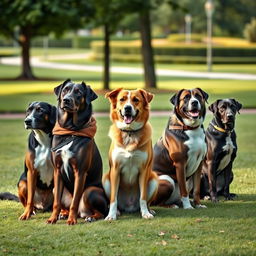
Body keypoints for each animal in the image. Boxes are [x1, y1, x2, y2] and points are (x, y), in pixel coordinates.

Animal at [46, 79, 107, 225]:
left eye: (79, 92)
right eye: (65, 90)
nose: (66, 100)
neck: (70, 131)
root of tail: (82, 213)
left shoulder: (80, 171)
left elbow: (75, 200)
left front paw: (71, 220)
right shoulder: (57, 169)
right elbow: (56, 202)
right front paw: (52, 218)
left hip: (91, 191)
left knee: (100, 212)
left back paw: (90, 217)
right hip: (56, 189)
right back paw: (63, 214)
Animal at [102, 88, 158, 220]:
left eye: (136, 100)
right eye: (122, 99)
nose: (127, 108)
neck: (130, 133)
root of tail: (129, 207)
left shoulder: (144, 170)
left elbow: (143, 197)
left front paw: (145, 213)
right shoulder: (115, 169)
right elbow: (113, 199)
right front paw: (111, 215)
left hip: (154, 179)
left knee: (147, 201)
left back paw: (149, 210)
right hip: (106, 179)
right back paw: (117, 211)